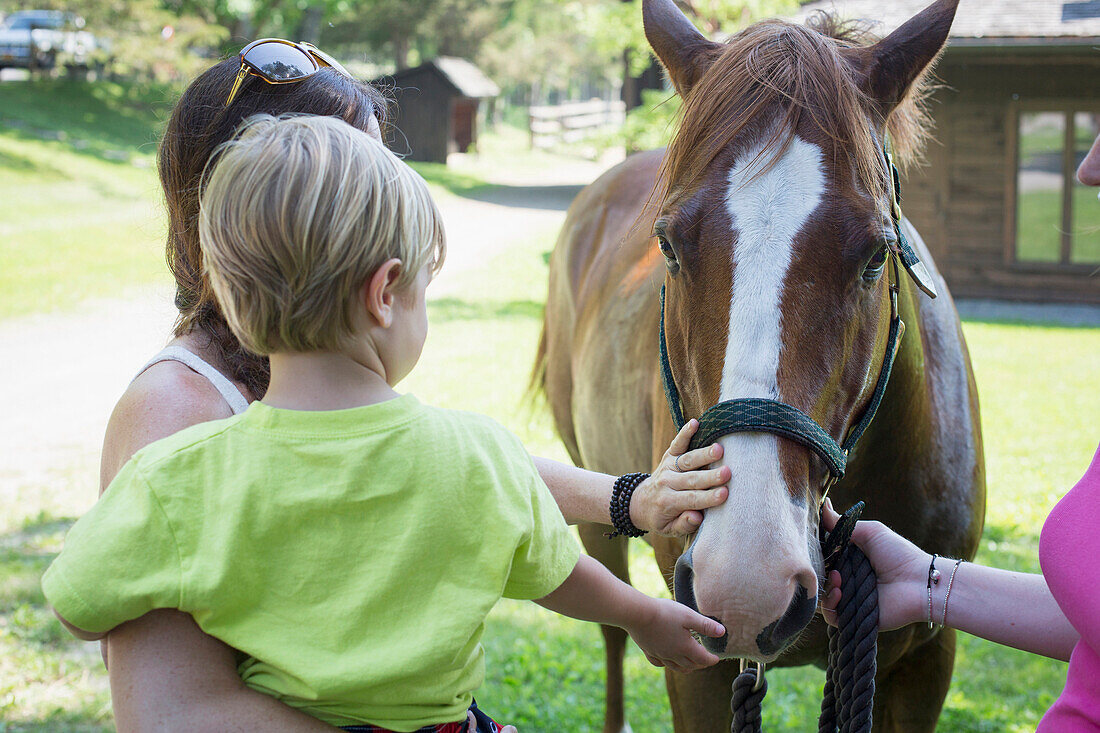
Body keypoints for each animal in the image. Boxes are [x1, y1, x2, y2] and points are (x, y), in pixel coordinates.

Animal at [536, 0, 985, 726]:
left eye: (875, 255)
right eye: (668, 244)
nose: (745, 582)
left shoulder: (925, 662)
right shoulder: (697, 664)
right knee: (611, 629)